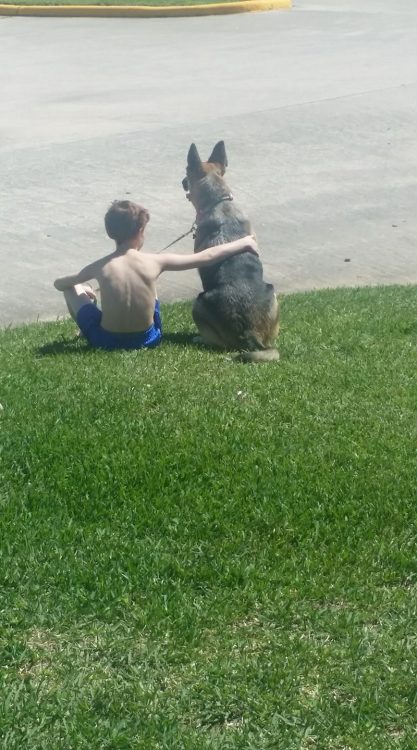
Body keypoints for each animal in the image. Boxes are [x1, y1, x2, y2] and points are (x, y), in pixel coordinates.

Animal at [182, 142, 280, 366]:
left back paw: (200, 337)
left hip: (198, 303)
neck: (219, 201)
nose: (182, 182)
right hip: (273, 294)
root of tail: (249, 332)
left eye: (186, 172)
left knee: (217, 343)